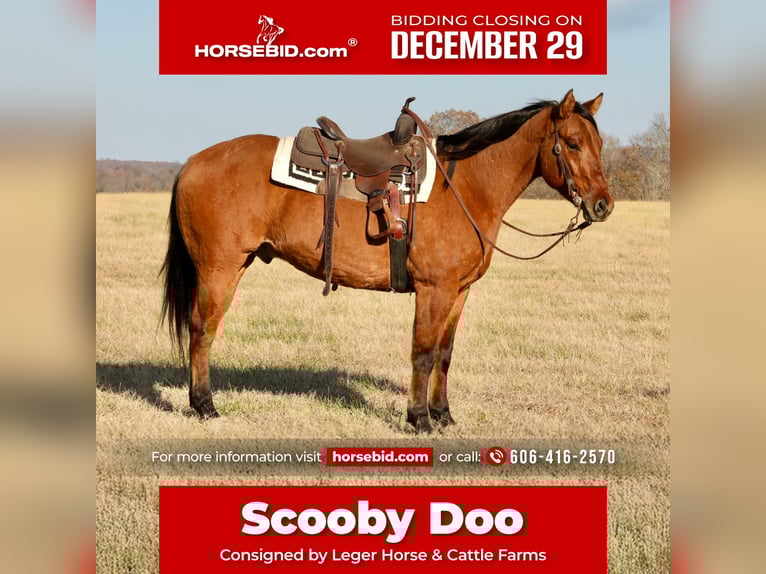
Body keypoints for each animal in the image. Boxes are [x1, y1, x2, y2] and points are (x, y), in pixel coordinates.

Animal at [160, 89, 614, 433]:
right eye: (573, 143)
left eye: (599, 144)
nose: (603, 205)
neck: (466, 187)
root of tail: (192, 163)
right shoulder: (434, 289)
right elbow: (423, 352)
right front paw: (419, 419)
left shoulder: (460, 291)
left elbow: (445, 354)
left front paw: (443, 415)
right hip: (218, 269)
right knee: (202, 330)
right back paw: (204, 405)